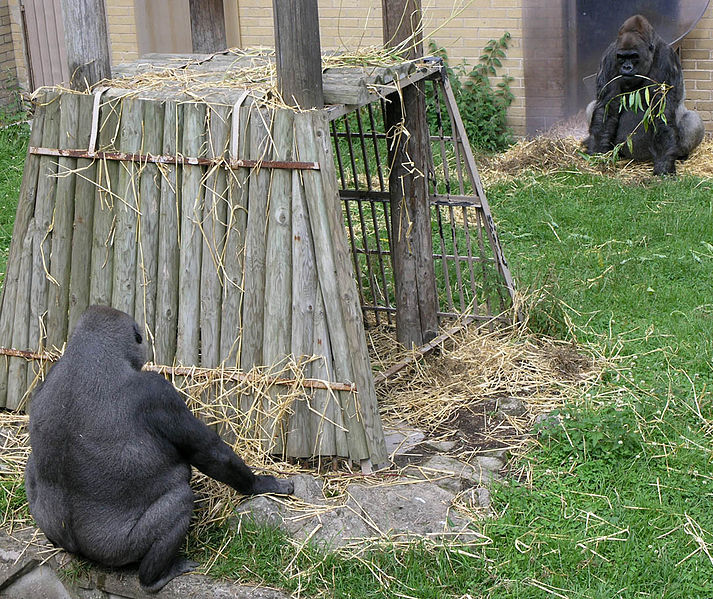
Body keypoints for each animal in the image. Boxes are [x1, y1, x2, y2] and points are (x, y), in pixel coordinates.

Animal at [25, 308, 292, 592]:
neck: (90, 355)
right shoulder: (158, 392)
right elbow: (210, 453)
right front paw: (262, 485)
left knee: (31, 465)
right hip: (117, 549)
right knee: (181, 500)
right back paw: (155, 577)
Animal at [584, 14, 708, 175]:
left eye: (633, 56)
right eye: (622, 57)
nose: (626, 67)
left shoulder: (666, 60)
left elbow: (662, 113)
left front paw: (664, 165)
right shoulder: (610, 57)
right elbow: (606, 106)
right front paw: (598, 154)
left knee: (692, 119)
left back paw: (682, 154)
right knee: (592, 106)